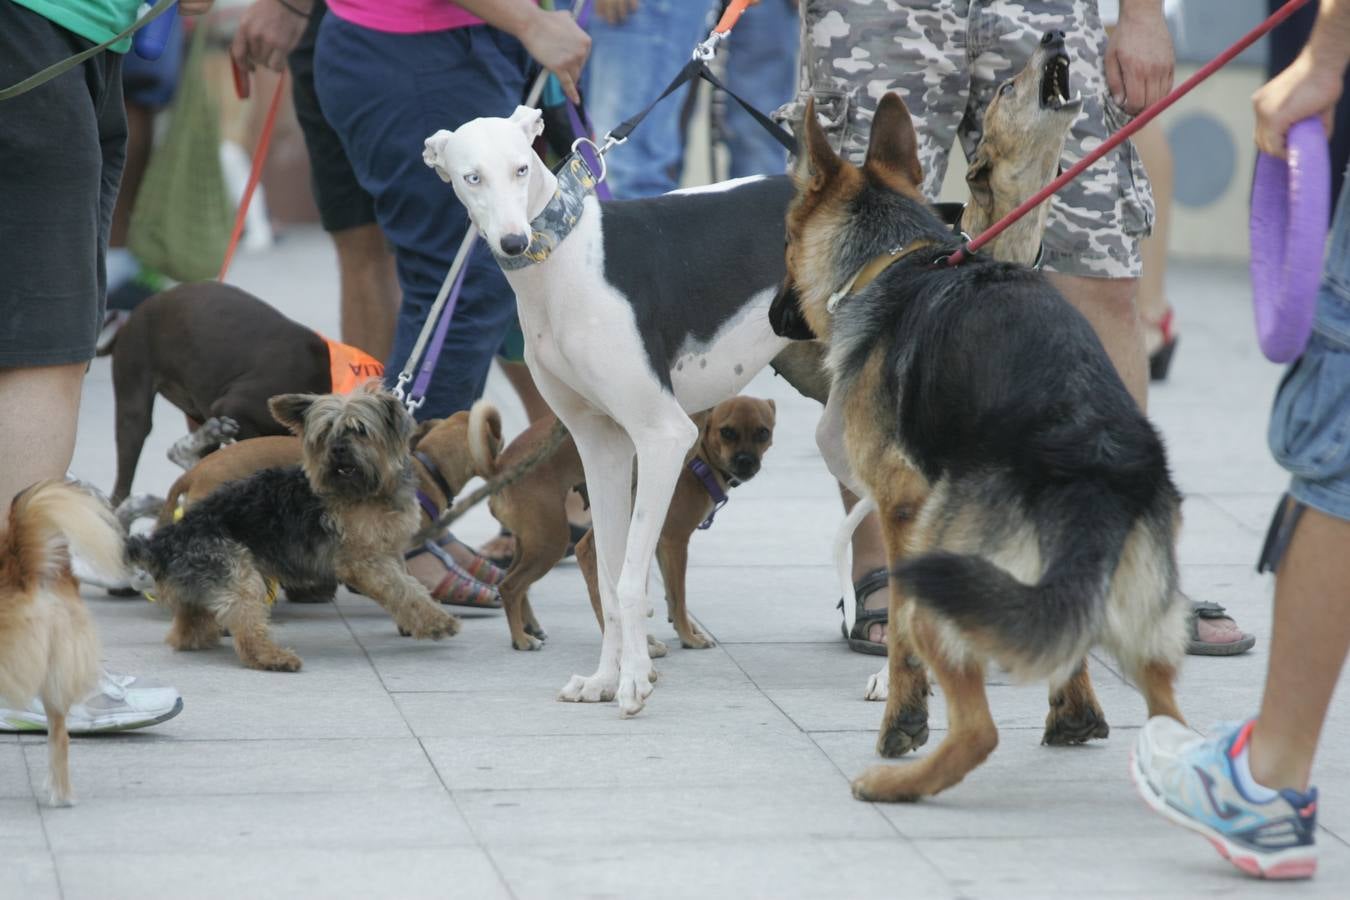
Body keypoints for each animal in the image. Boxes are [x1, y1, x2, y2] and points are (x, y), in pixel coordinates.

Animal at [426, 112, 793, 712]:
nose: (513, 241)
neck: (565, 262)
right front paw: (604, 679)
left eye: (521, 168)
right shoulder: (602, 445)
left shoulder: (663, 436)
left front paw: (634, 682)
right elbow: (605, 570)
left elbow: (627, 580)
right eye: (470, 176)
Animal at [777, 95, 1188, 804]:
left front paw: (901, 718)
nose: (776, 316)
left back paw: (896, 779)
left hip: (944, 568)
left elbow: (900, 647)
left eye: (782, 241)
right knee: (1164, 709)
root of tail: (1093, 454)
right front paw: (1074, 713)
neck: (897, 258)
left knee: (978, 728)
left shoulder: (900, 510)